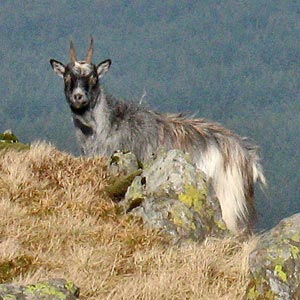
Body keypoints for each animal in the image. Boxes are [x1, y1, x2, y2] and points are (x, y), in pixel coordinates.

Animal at [50, 38, 266, 234]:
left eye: (94, 77)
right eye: (67, 77)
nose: (78, 97)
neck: (107, 125)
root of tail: (247, 158)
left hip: (228, 200)